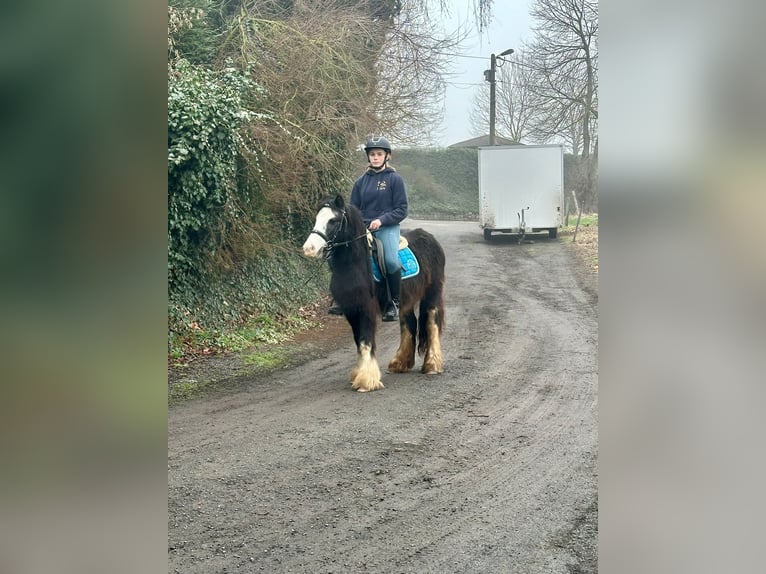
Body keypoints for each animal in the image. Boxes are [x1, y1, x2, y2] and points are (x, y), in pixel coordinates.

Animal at [302, 196, 444, 394]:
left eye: (333, 221)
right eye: (317, 218)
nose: (309, 248)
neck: (356, 265)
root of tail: (430, 238)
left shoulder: (366, 308)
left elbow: (365, 340)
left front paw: (366, 380)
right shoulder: (351, 310)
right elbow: (358, 340)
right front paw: (359, 373)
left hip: (432, 294)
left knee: (432, 323)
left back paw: (432, 365)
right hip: (405, 301)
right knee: (409, 324)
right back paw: (400, 363)